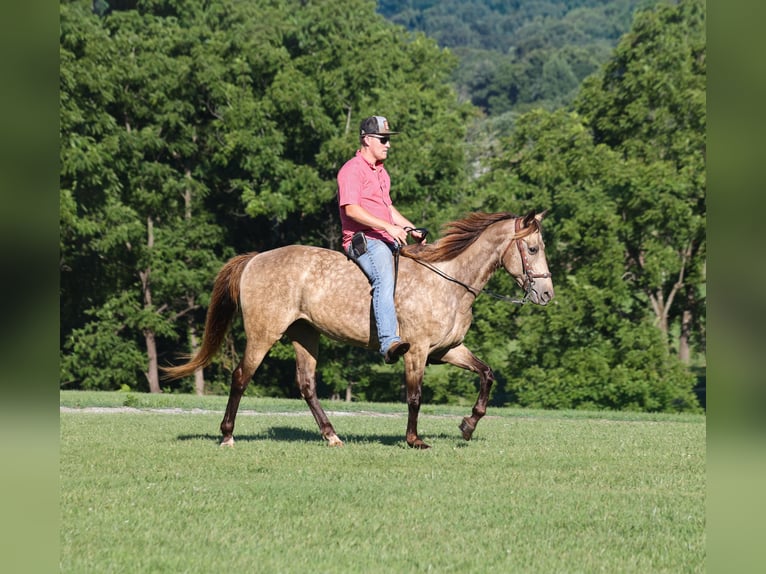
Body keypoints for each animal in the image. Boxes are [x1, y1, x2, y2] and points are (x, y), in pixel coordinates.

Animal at [162, 210, 554, 449]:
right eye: (533, 248)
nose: (547, 294)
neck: (449, 281)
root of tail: (255, 258)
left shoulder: (448, 350)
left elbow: (487, 374)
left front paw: (468, 424)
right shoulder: (417, 351)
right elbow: (415, 396)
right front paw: (414, 440)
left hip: (305, 335)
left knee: (306, 386)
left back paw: (332, 436)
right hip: (264, 334)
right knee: (241, 377)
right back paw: (227, 436)